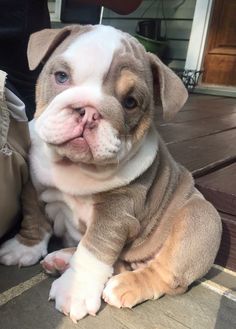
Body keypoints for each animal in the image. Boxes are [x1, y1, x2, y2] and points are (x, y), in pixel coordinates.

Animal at [0, 25, 222, 320]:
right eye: (61, 76)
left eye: (130, 102)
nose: (88, 112)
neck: (74, 165)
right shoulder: (33, 183)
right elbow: (34, 217)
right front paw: (24, 247)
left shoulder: (115, 212)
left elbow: (94, 249)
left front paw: (75, 290)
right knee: (118, 261)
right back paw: (62, 258)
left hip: (200, 219)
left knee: (163, 274)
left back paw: (124, 284)